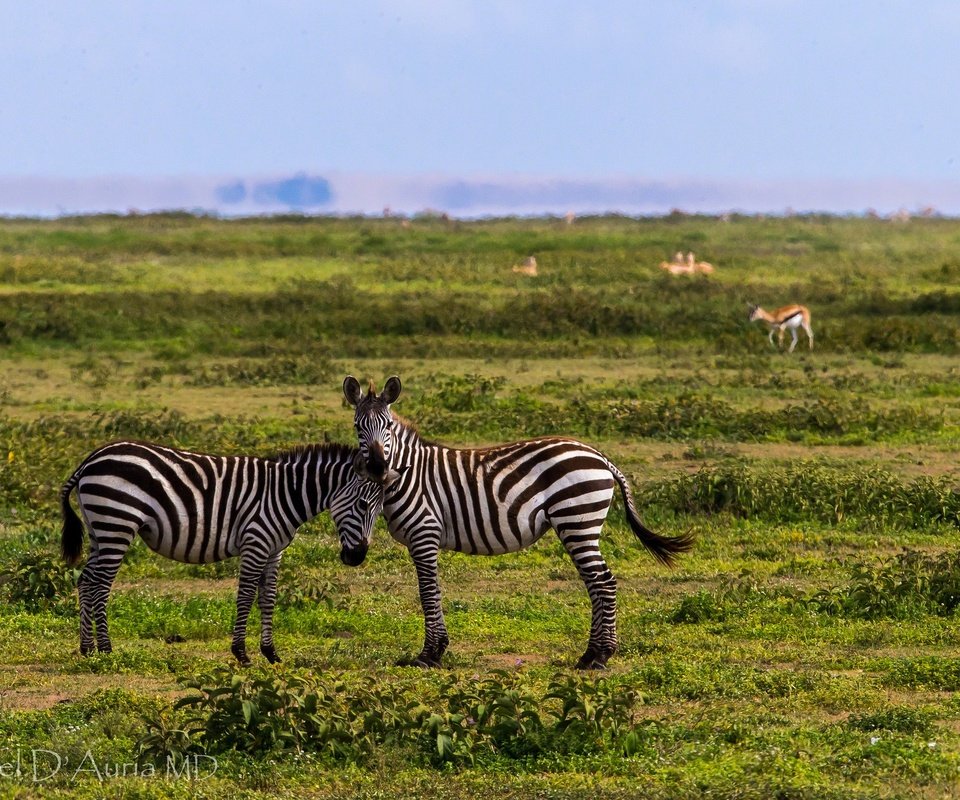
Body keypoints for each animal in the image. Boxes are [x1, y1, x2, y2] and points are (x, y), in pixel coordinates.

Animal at [58, 440, 382, 664]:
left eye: (381, 510)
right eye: (363, 504)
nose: (356, 558)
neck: (285, 494)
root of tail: (90, 460)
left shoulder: (274, 550)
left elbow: (268, 599)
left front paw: (270, 653)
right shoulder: (256, 542)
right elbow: (246, 596)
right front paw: (241, 653)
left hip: (99, 530)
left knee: (86, 581)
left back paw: (87, 649)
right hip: (117, 524)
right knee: (101, 586)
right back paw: (106, 649)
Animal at [342, 376, 692, 668]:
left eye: (388, 426)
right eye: (358, 427)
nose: (377, 466)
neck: (408, 474)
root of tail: (600, 456)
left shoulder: (424, 533)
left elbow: (428, 592)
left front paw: (429, 655)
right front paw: (435, 651)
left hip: (578, 521)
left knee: (602, 581)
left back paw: (599, 656)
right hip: (579, 525)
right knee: (596, 582)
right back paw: (592, 653)